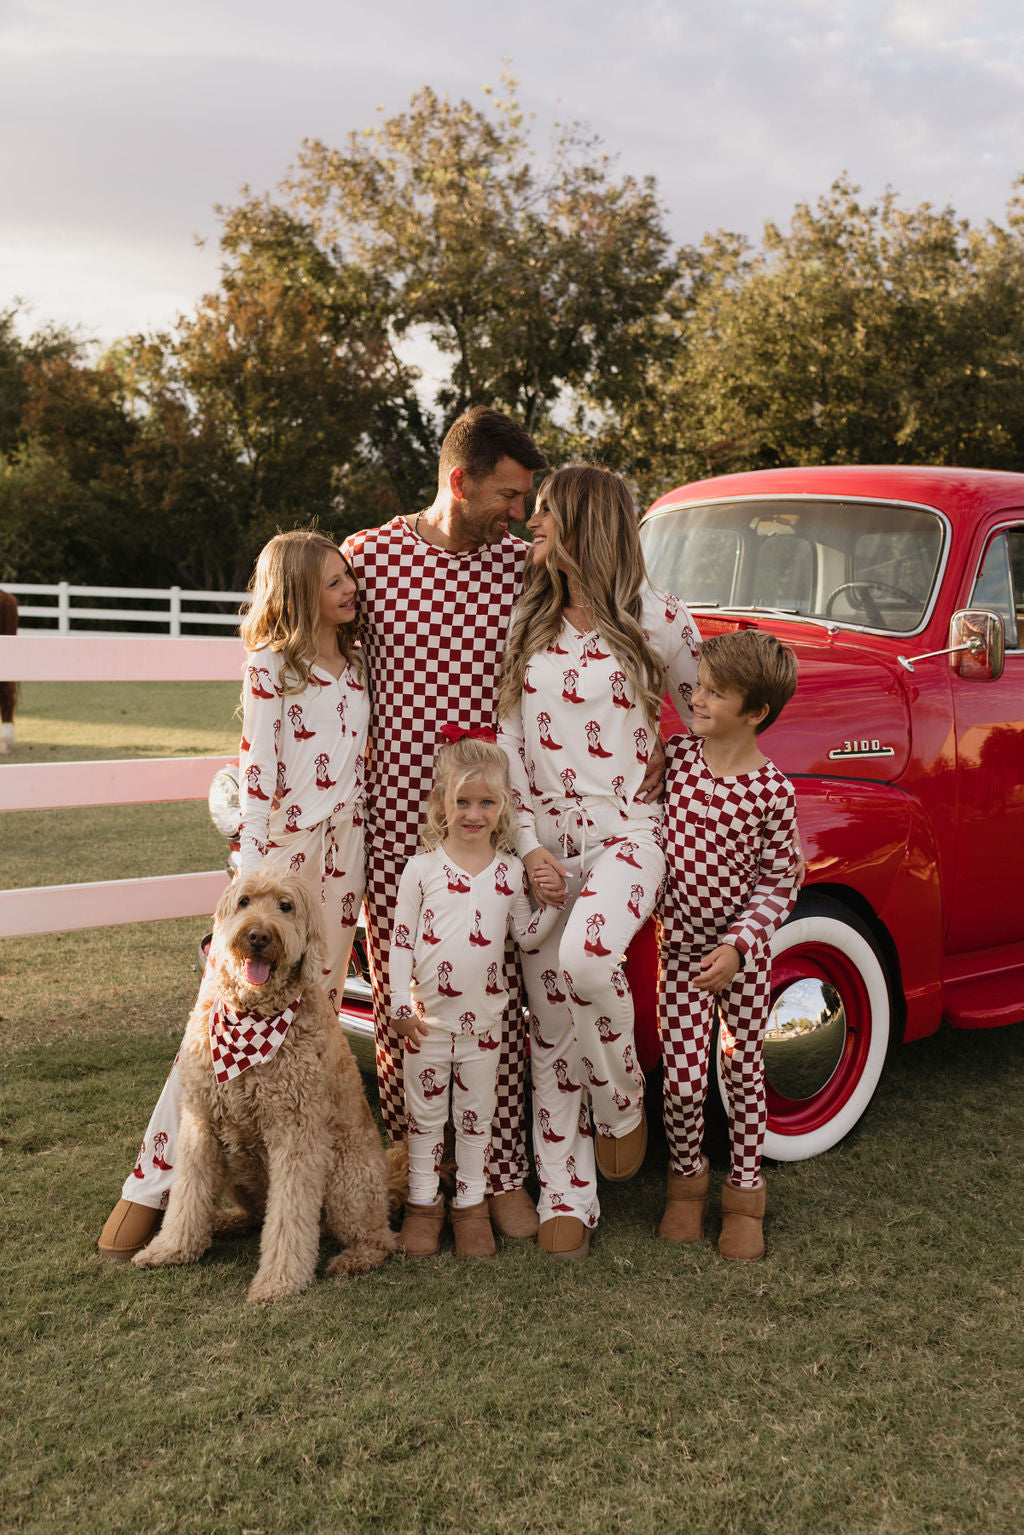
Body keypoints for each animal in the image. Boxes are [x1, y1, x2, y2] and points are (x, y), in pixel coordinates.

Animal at [133, 871, 396, 1301]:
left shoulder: (296, 1134)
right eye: (244, 901)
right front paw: (171, 1249)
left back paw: (355, 1258)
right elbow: (187, 1196)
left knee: (379, 1237)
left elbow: (289, 1216)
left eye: (285, 907)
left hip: (346, 1179)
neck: (251, 1014)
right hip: (235, 1164)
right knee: (255, 1214)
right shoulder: (200, 1125)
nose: (258, 935)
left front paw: (279, 1281)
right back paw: (224, 1221)